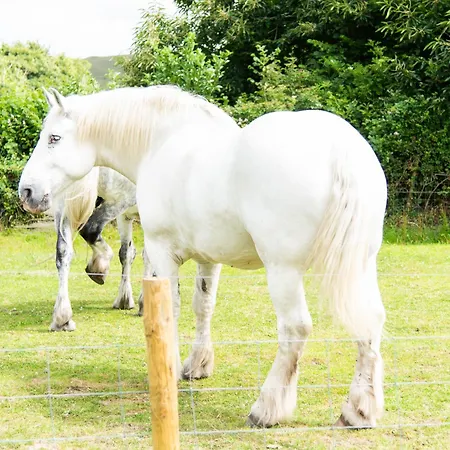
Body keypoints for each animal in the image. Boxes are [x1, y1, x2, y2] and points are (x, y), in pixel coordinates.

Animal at [19, 85, 387, 429]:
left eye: (53, 138)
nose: (27, 191)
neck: (160, 142)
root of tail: (341, 150)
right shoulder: (209, 258)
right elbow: (203, 306)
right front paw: (197, 365)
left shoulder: (162, 252)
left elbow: (171, 309)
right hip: (360, 266)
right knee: (370, 323)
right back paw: (358, 410)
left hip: (284, 271)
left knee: (295, 329)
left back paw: (266, 410)